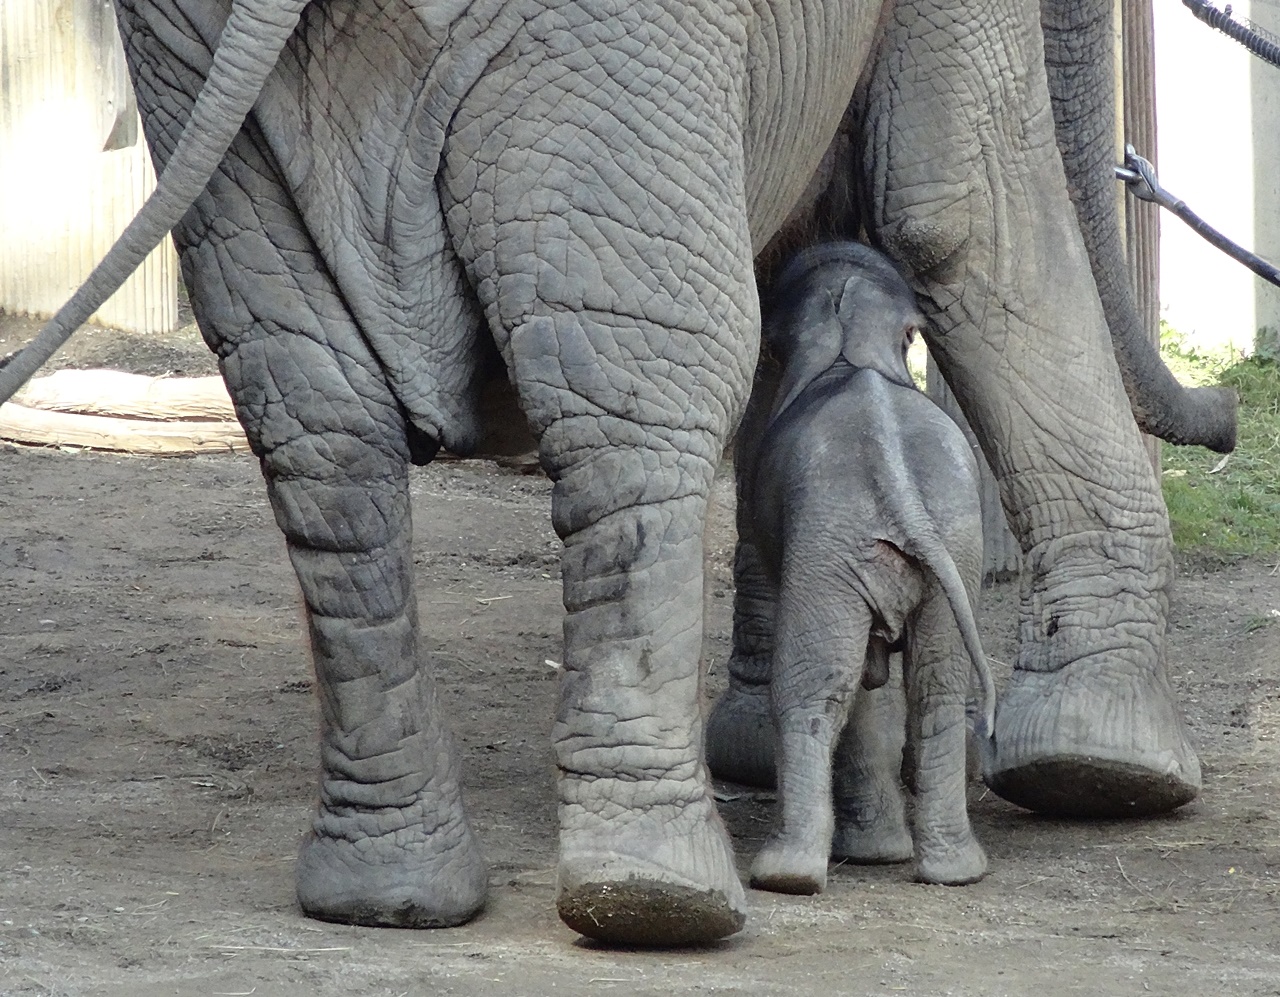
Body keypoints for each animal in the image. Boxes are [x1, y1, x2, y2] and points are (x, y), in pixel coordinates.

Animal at [742, 241, 998, 895]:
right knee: (937, 685)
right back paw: (955, 871)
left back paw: (787, 875)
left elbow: (856, 675)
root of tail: (895, 480)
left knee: (816, 681)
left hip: (830, 548)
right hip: (957, 542)